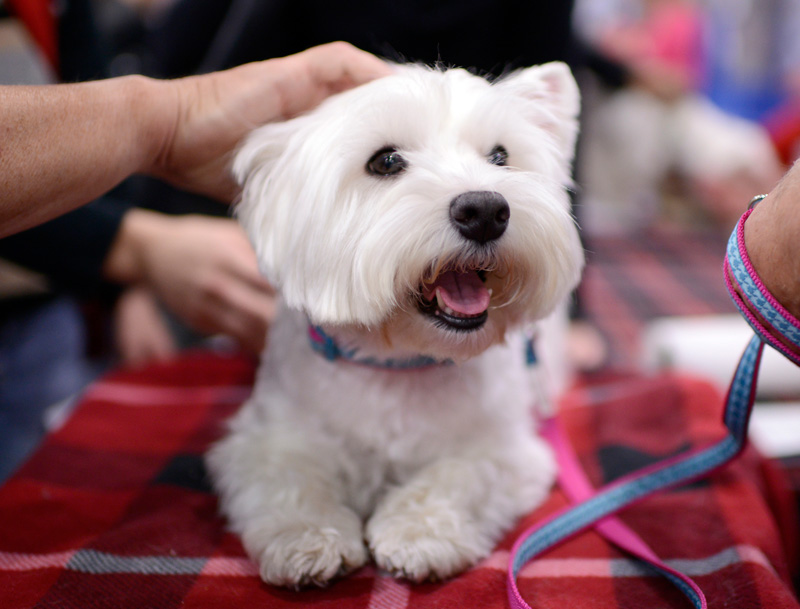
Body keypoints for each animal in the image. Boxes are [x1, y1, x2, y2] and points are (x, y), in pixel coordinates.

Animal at [205, 60, 580, 584]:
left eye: (500, 156)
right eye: (385, 162)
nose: (485, 209)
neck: (400, 362)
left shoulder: (508, 452)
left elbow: (458, 476)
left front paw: (417, 534)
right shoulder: (264, 439)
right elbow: (289, 479)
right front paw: (307, 538)